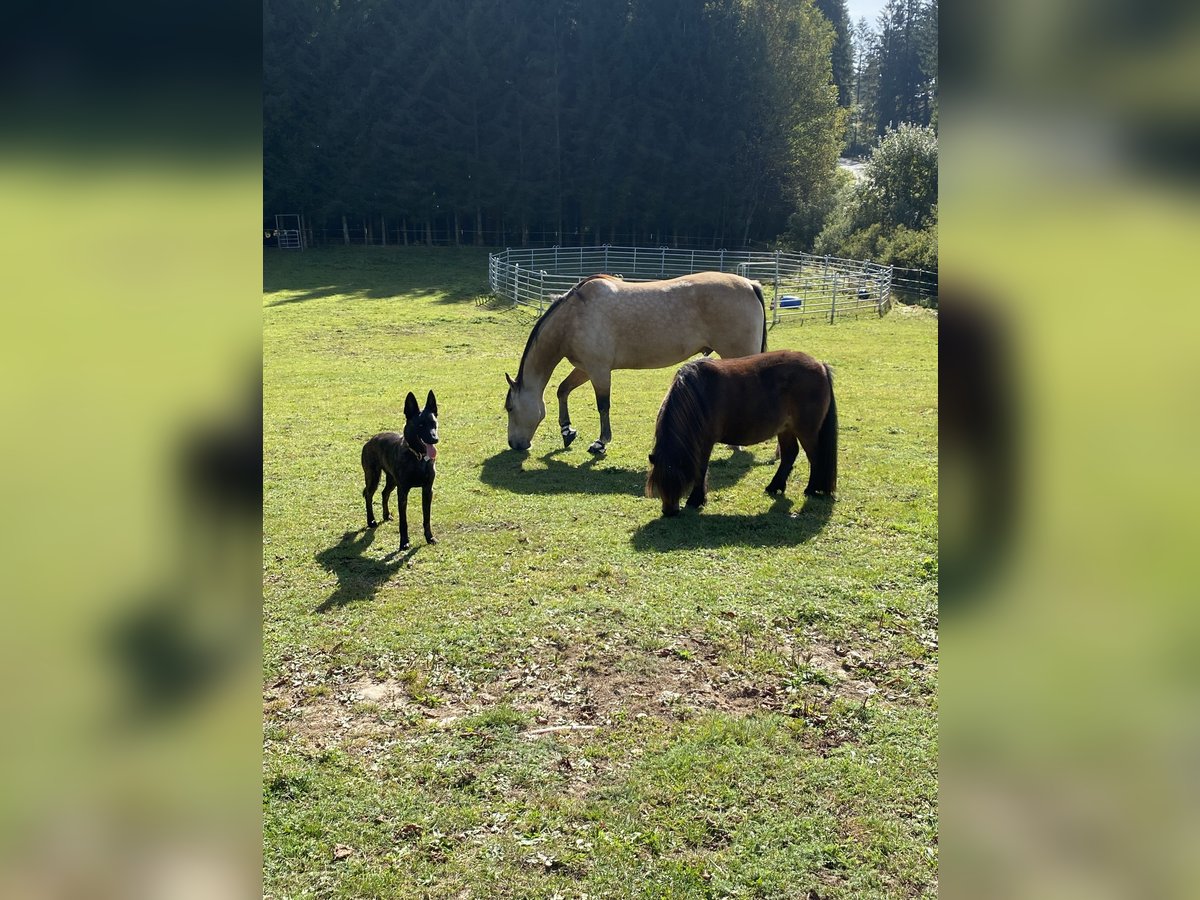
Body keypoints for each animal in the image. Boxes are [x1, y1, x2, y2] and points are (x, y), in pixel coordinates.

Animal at [364, 388, 446, 549]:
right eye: (420, 425)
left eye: (433, 423)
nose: (435, 439)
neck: (418, 457)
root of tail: (370, 441)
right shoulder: (403, 492)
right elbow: (404, 521)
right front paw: (404, 542)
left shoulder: (427, 490)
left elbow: (426, 518)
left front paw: (429, 537)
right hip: (373, 477)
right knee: (368, 495)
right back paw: (371, 521)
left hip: (392, 480)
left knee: (384, 493)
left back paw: (386, 515)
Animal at [501, 271, 763, 453]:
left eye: (510, 408)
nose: (514, 444)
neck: (574, 317)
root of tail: (750, 284)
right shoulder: (585, 368)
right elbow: (563, 390)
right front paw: (567, 431)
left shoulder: (599, 371)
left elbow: (603, 406)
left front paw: (600, 443)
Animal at [648, 352, 835, 520]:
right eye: (658, 481)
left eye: (678, 481)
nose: (669, 511)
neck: (699, 394)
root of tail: (820, 365)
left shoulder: (705, 443)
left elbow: (701, 469)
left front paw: (696, 500)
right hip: (786, 429)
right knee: (790, 454)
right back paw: (774, 487)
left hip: (807, 431)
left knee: (815, 457)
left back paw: (811, 489)